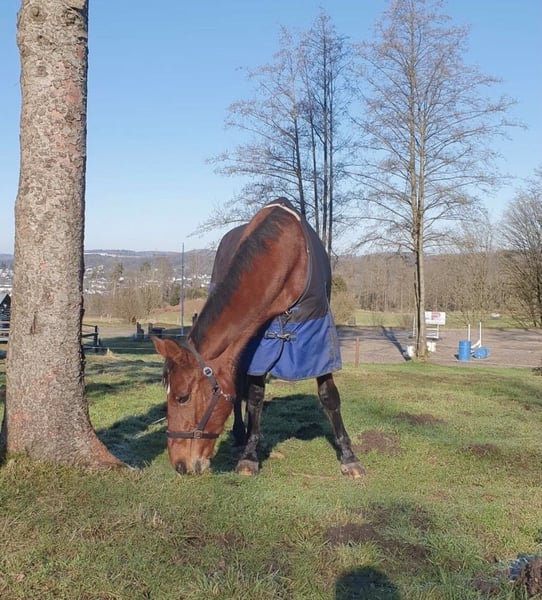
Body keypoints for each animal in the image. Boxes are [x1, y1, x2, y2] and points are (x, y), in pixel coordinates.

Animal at [152, 198, 364, 478]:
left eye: (182, 396)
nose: (179, 465)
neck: (289, 253)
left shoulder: (317, 334)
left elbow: (328, 395)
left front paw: (349, 456)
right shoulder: (259, 344)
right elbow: (253, 396)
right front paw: (249, 455)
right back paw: (240, 435)